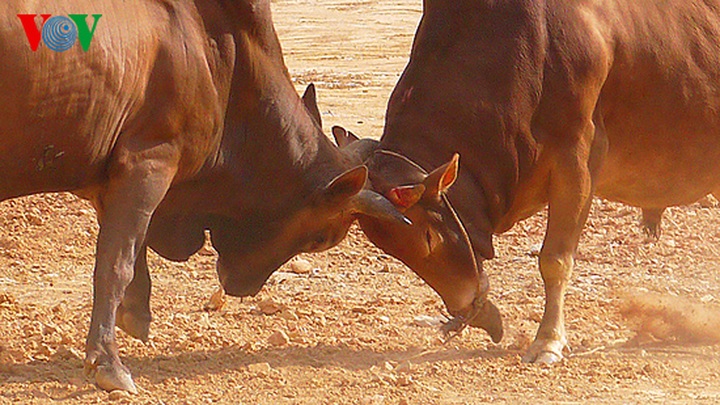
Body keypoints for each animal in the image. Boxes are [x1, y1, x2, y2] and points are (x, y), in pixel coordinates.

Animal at [0, 0, 408, 393]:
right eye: (320, 239)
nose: (241, 286)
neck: (221, 51)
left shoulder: (112, 175)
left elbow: (129, 251)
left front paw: (137, 312)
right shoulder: (150, 159)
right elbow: (116, 264)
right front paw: (108, 363)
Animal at [337, 0, 720, 365]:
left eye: (429, 237)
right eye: (393, 250)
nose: (466, 309)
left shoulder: (577, 156)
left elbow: (555, 260)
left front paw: (548, 341)